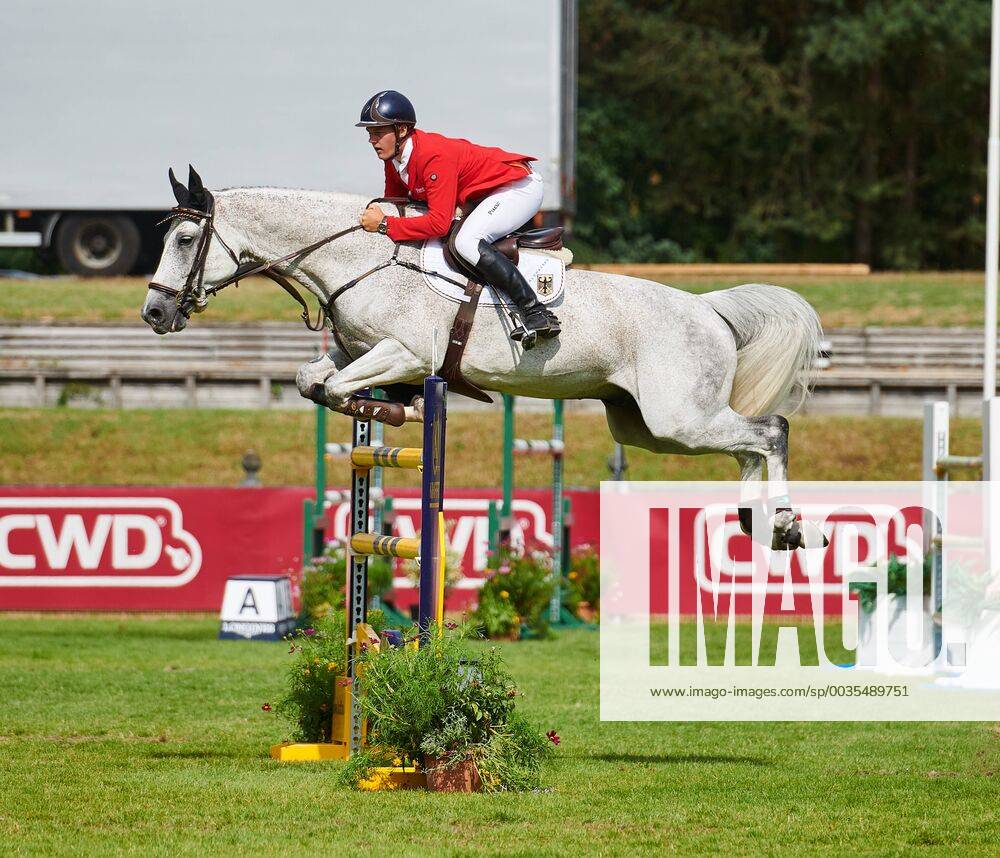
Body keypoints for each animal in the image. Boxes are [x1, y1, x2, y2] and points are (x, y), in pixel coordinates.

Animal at [143, 167, 828, 548]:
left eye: (185, 238)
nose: (154, 313)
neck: (357, 257)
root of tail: (708, 309)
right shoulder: (356, 350)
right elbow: (312, 379)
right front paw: (387, 408)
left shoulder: (403, 351)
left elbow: (336, 387)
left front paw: (388, 409)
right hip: (647, 427)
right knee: (746, 444)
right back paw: (759, 522)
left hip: (677, 416)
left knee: (770, 430)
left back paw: (786, 524)